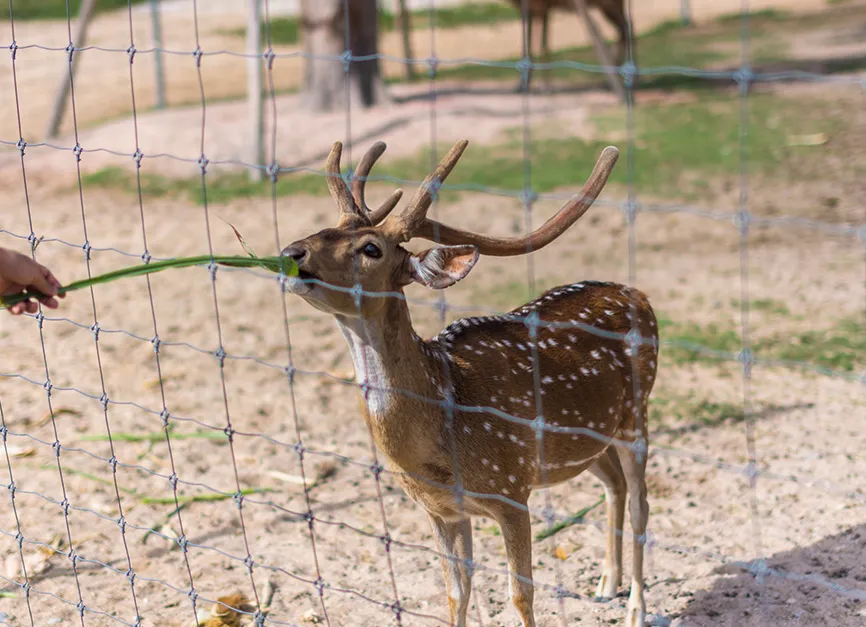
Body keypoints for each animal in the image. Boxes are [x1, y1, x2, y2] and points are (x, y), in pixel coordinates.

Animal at [279, 139, 658, 627]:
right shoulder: (440, 510)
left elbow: (520, 594)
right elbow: (456, 593)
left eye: (371, 248)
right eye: (322, 228)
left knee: (641, 503)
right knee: (614, 483)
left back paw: (636, 608)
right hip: (586, 437)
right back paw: (607, 584)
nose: (293, 252)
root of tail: (638, 293)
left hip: (638, 413)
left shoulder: (511, 490)